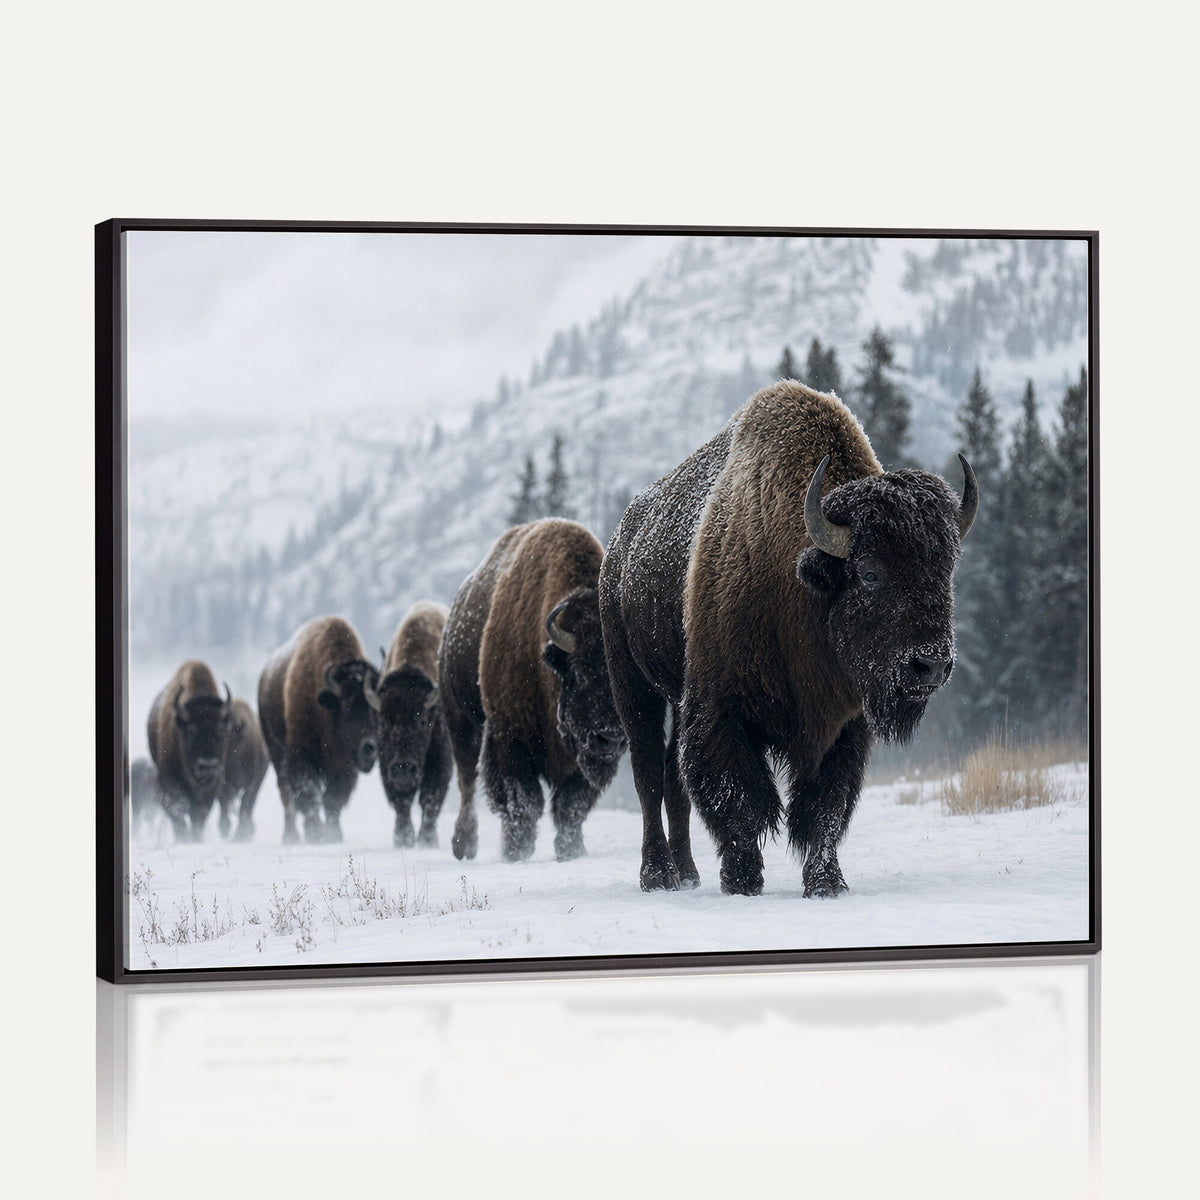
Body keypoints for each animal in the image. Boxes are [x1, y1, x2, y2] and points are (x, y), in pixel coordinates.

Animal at [146, 660, 233, 842]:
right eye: (191, 730)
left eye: (220, 728)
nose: (207, 764)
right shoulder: (168, 780)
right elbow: (177, 812)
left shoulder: (213, 785)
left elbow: (199, 815)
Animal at [258, 615, 381, 843]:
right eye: (348, 709)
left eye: (377, 710)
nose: (370, 747)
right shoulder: (301, 755)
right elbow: (309, 793)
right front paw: (314, 832)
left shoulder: (345, 767)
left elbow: (334, 798)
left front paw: (334, 834)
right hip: (275, 752)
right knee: (286, 794)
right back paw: (291, 836)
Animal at [373, 600, 453, 848]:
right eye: (383, 722)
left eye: (423, 721)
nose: (403, 768)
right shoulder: (385, 765)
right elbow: (401, 802)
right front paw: (403, 839)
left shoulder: (441, 762)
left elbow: (430, 798)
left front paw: (428, 841)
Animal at [441, 519, 628, 863]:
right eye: (579, 674)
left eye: (620, 682)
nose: (610, 739)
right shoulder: (509, 736)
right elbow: (522, 800)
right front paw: (516, 851)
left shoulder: (576, 757)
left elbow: (571, 805)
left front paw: (571, 850)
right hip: (461, 720)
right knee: (467, 781)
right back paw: (464, 845)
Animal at [599, 381, 977, 896]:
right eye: (870, 572)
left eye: (946, 572)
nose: (931, 665)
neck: (800, 579)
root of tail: (617, 548)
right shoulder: (721, 710)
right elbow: (740, 797)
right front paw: (742, 879)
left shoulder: (841, 726)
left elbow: (824, 807)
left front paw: (827, 883)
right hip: (632, 684)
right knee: (649, 774)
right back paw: (658, 874)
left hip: (676, 696)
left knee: (675, 782)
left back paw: (688, 872)